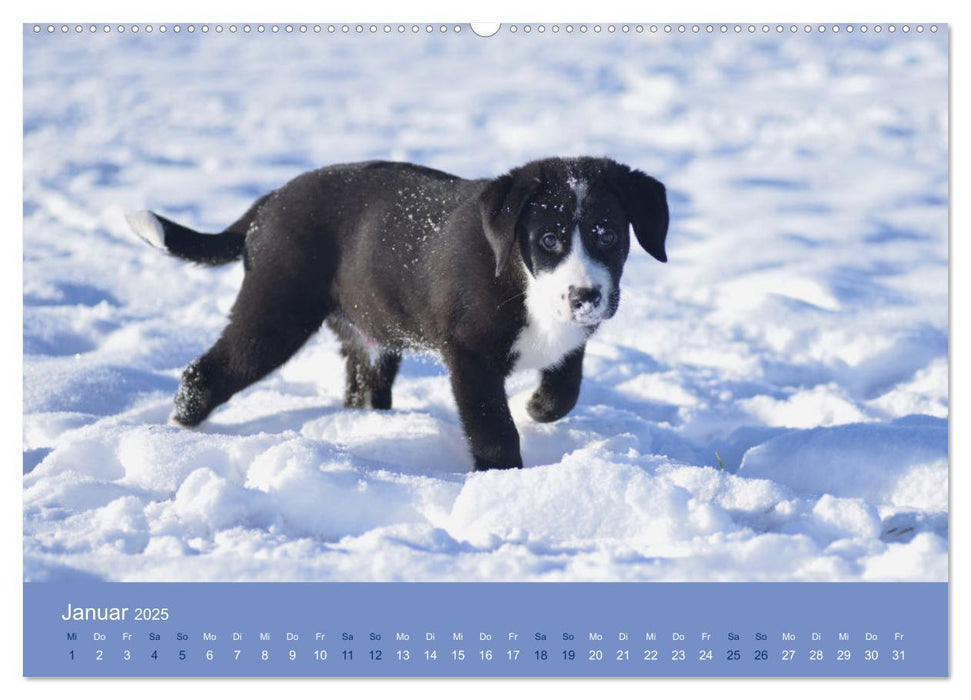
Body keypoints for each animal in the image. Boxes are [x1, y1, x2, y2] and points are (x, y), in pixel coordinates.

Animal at [127, 156, 668, 468]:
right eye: (550, 240)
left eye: (608, 234)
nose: (586, 296)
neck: (519, 277)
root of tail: (267, 205)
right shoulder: (469, 356)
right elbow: (493, 427)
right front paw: (502, 482)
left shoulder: (571, 338)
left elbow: (565, 387)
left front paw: (536, 407)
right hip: (275, 311)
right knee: (206, 372)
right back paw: (176, 435)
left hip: (368, 333)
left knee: (363, 386)